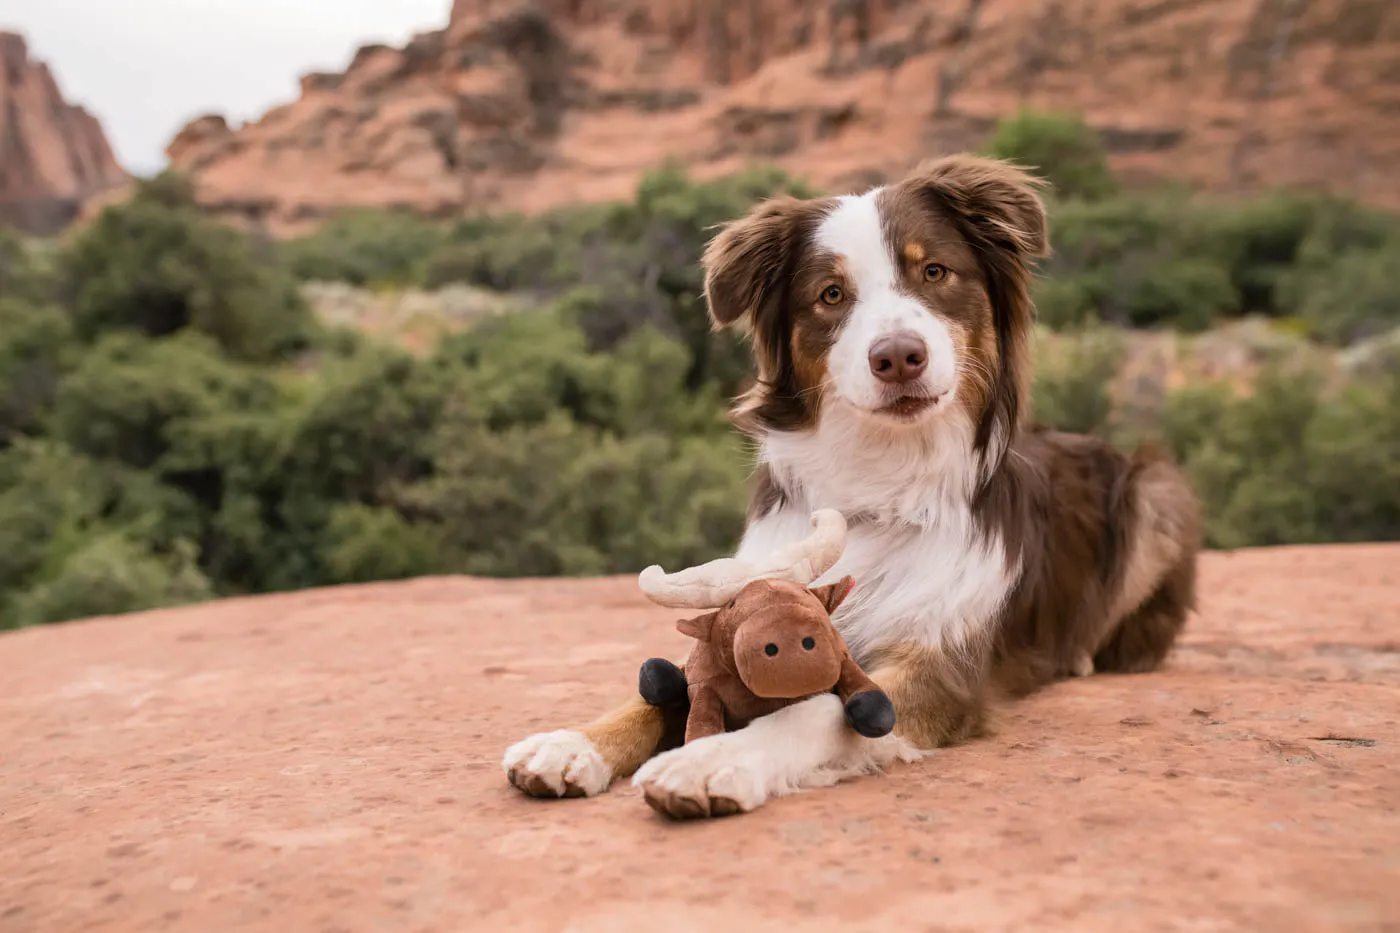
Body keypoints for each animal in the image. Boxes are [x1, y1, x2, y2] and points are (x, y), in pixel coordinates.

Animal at [504, 150, 1204, 812]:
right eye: (832, 295)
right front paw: (573, 742)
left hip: (1157, 490)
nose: (898, 357)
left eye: (934, 272)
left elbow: (815, 710)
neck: (882, 477)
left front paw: (710, 760)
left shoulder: (938, 664)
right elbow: (656, 692)